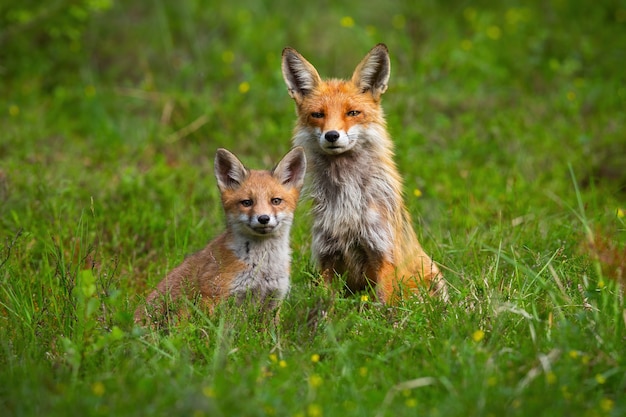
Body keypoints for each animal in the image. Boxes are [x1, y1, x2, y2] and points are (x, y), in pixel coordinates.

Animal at [134, 147, 304, 324]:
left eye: (276, 201)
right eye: (247, 202)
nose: (263, 218)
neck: (263, 267)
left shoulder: (273, 300)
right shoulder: (214, 295)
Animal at [280, 43, 446, 302]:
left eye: (353, 113)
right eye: (318, 115)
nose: (332, 135)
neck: (347, 201)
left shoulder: (382, 251)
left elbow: (386, 303)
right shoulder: (327, 255)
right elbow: (325, 304)